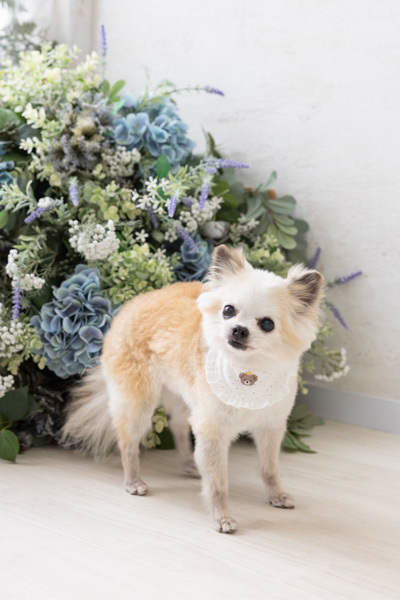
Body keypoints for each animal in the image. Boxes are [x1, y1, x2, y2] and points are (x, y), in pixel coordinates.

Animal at [63, 244, 323, 533]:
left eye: (267, 324)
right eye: (228, 310)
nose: (238, 330)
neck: (248, 371)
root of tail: (131, 304)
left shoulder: (270, 427)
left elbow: (269, 468)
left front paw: (275, 495)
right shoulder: (213, 431)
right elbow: (218, 483)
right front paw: (222, 518)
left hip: (182, 394)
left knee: (177, 425)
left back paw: (189, 463)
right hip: (139, 402)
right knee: (128, 442)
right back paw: (133, 480)